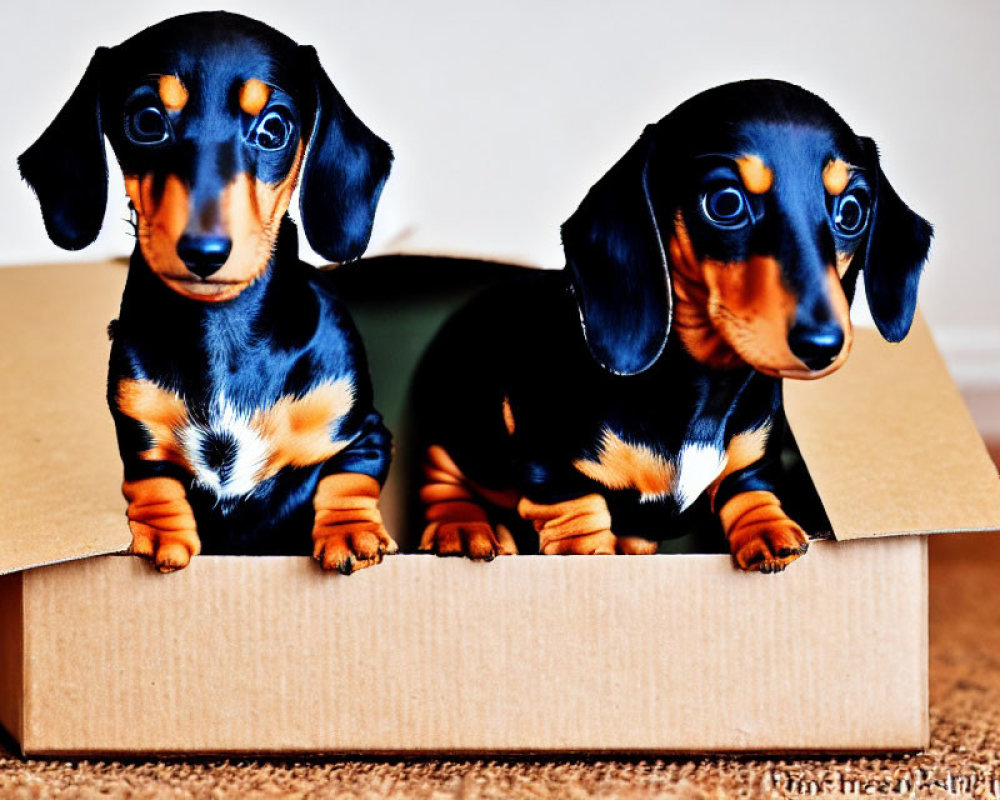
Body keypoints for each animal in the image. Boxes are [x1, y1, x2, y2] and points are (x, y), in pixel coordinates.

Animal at [19, 14, 394, 576]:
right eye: (146, 121)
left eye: (274, 128)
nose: (204, 251)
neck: (224, 333)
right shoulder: (138, 433)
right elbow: (150, 481)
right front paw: (161, 534)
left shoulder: (364, 427)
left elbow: (349, 472)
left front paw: (350, 532)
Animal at [412, 79, 928, 568]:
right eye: (725, 203)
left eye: (852, 210)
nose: (822, 344)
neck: (705, 388)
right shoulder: (550, 466)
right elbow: (579, 516)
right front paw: (589, 552)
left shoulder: (753, 465)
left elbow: (749, 490)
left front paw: (767, 531)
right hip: (452, 434)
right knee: (443, 479)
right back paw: (463, 527)